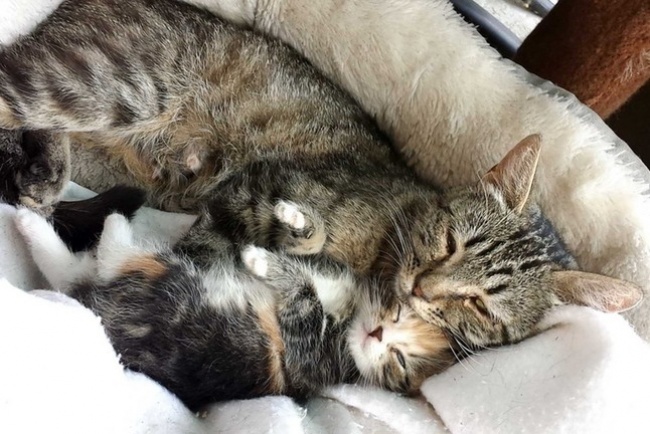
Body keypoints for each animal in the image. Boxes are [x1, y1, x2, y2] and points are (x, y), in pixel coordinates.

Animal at [0, 0, 642, 353]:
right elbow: (224, 251)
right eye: (450, 243)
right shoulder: (252, 190)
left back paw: (41, 174)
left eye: (482, 306)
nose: (423, 289)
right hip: (105, 85)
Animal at [14, 202, 453, 411]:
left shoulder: (306, 357)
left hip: (168, 284)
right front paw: (295, 219)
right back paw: (30, 224)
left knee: (106, 259)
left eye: (399, 361)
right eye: (398, 314)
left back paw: (108, 222)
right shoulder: (328, 269)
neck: (347, 314)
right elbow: (309, 246)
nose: (377, 334)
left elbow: (303, 298)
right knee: (74, 271)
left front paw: (261, 262)